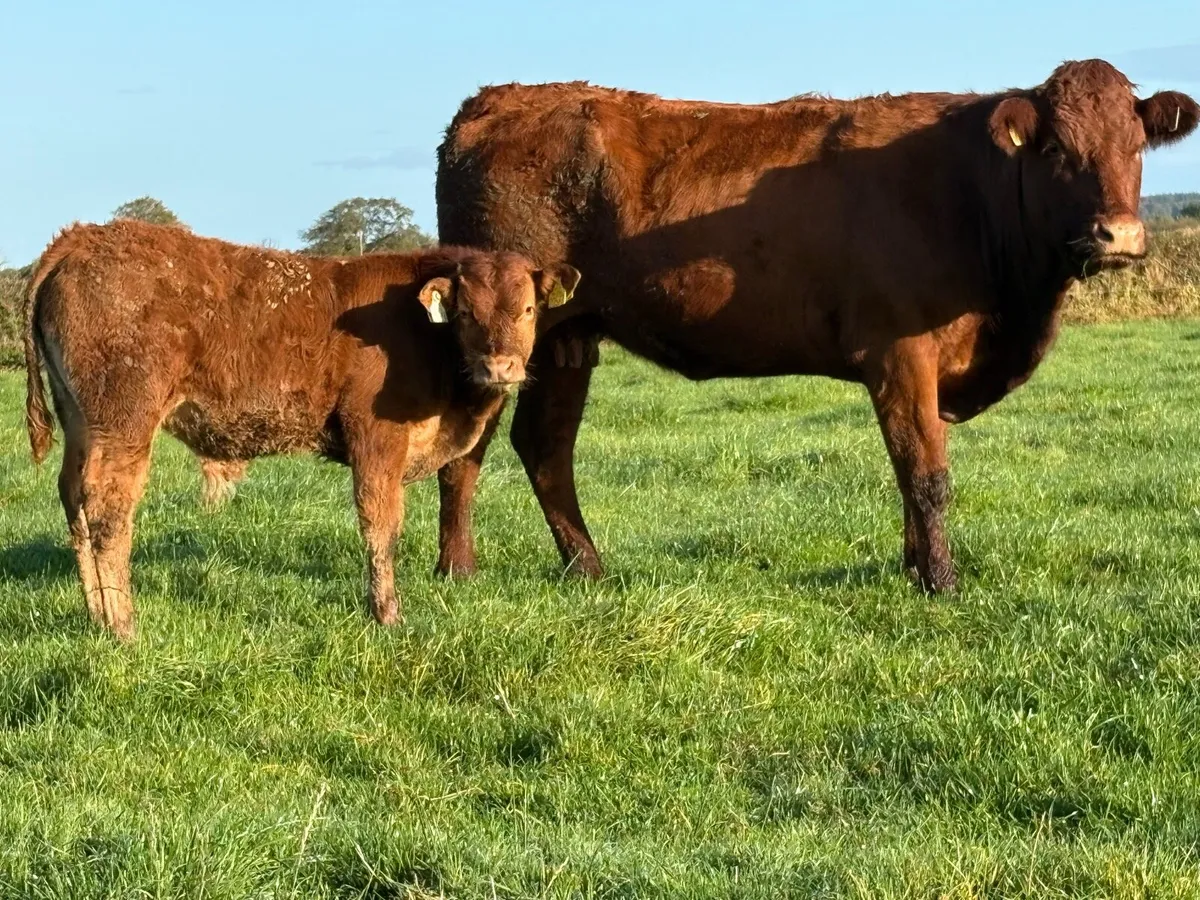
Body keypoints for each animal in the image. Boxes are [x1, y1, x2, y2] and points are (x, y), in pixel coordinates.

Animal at [24, 220, 580, 640]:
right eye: (465, 311)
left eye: (528, 309)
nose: (499, 366)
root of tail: (83, 237)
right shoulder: (376, 438)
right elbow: (381, 526)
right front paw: (388, 615)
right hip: (125, 419)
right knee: (108, 509)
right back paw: (123, 627)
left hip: (82, 421)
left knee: (73, 498)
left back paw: (97, 616)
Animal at [434, 59, 1199, 592]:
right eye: (1058, 150)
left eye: (1136, 145)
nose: (1119, 235)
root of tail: (494, 101)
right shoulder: (898, 350)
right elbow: (925, 473)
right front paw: (942, 583)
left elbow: (912, 470)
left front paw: (913, 570)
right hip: (501, 336)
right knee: (467, 449)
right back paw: (457, 570)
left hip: (571, 335)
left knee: (545, 447)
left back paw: (588, 569)